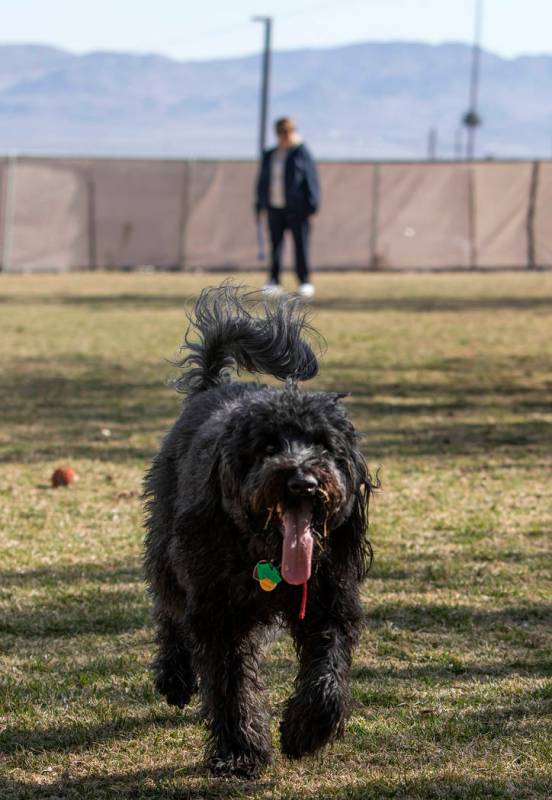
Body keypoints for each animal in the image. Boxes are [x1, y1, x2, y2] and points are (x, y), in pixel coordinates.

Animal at [144, 286, 374, 776]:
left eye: (324, 445)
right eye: (268, 446)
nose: (302, 482)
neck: (266, 553)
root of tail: (215, 384)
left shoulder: (330, 601)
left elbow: (328, 670)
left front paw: (307, 730)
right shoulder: (218, 611)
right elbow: (230, 684)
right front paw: (240, 752)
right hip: (169, 551)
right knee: (169, 610)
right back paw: (175, 676)